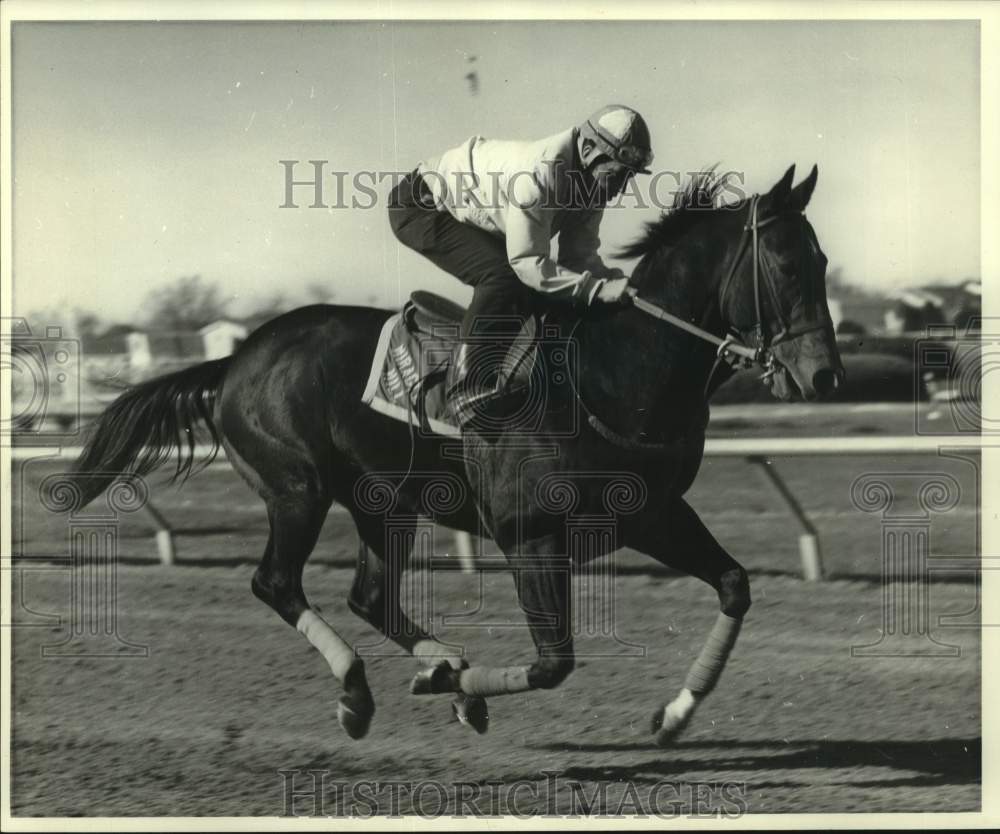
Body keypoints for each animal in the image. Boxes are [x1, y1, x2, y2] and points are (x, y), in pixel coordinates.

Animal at [68, 162, 844, 740]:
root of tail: (234, 359)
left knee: (369, 595)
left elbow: (735, 584)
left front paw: (675, 714)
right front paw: (455, 686)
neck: (613, 370)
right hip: (297, 489)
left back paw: (429, 672)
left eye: (824, 259)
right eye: (784, 263)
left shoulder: (652, 513)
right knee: (277, 583)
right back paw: (362, 690)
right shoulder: (529, 533)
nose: (825, 376)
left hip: (384, 503)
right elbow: (553, 663)